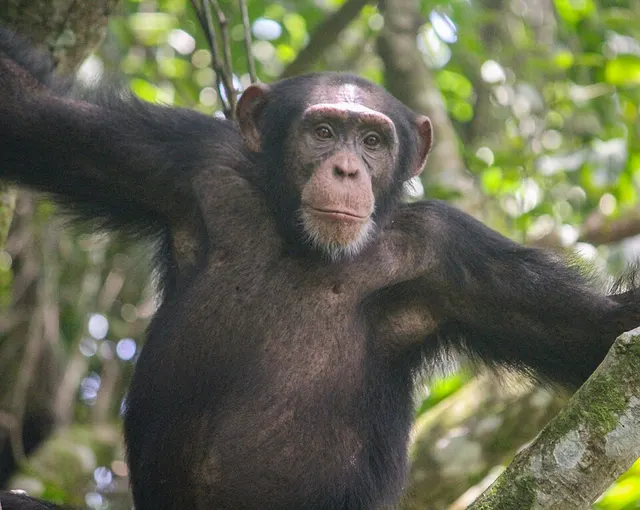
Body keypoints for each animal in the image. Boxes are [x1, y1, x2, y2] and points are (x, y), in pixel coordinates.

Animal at [0, 27, 638, 509]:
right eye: (324, 131)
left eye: (373, 142)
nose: (348, 169)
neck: (302, 243)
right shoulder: (181, 156)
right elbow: (34, 114)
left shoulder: (452, 254)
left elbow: (585, 330)